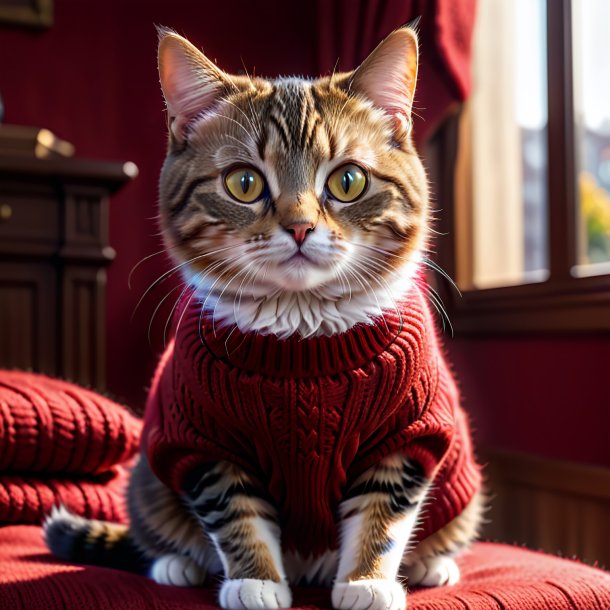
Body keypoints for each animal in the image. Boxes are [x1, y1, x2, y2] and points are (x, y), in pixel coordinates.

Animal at [42, 25, 482, 608]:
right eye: (244, 183)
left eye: (348, 181)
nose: (298, 227)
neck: (300, 326)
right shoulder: (202, 438)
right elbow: (234, 510)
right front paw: (256, 581)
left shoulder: (407, 432)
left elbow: (384, 510)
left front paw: (366, 582)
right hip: (147, 485)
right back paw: (176, 564)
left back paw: (434, 564)